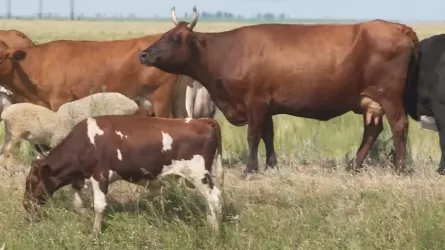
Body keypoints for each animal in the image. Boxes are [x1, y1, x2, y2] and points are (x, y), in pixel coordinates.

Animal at [22, 114, 224, 233]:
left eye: (32, 181)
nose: (25, 204)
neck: (84, 142)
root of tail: (200, 120)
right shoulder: (80, 177)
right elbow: (78, 204)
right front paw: (86, 219)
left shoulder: (100, 175)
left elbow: (99, 206)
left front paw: (96, 232)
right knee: (211, 201)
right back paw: (210, 224)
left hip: (199, 174)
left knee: (214, 198)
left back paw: (214, 232)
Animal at [140, 6, 420, 178]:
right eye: (164, 33)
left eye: (175, 38)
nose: (143, 54)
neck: (226, 53)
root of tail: (399, 27)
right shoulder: (266, 105)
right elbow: (268, 134)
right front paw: (271, 165)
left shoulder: (255, 101)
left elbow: (253, 136)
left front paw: (250, 169)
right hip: (370, 101)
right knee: (372, 131)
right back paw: (353, 165)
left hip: (390, 96)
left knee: (399, 126)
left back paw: (399, 168)